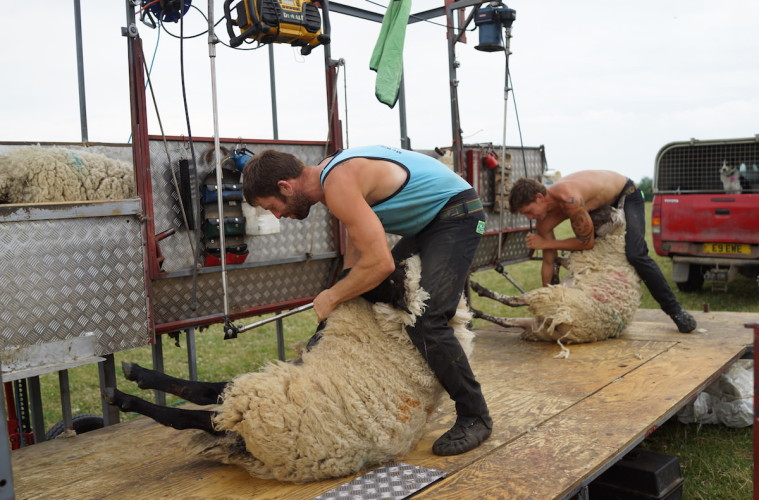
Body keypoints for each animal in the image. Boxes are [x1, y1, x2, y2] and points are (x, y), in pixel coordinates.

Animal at [105, 256, 476, 482]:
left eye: (390, 276)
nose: (347, 272)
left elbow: (199, 400)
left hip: (259, 404)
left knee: (193, 412)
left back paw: (124, 392)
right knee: (208, 397)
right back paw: (134, 378)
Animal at [476, 206, 640, 344]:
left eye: (603, 214)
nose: (583, 216)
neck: (615, 241)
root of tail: (574, 327)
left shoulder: (578, 262)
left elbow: (559, 260)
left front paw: (556, 277)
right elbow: (557, 260)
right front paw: (555, 277)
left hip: (547, 299)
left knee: (512, 301)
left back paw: (478, 289)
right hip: (539, 325)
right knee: (506, 322)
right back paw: (476, 312)